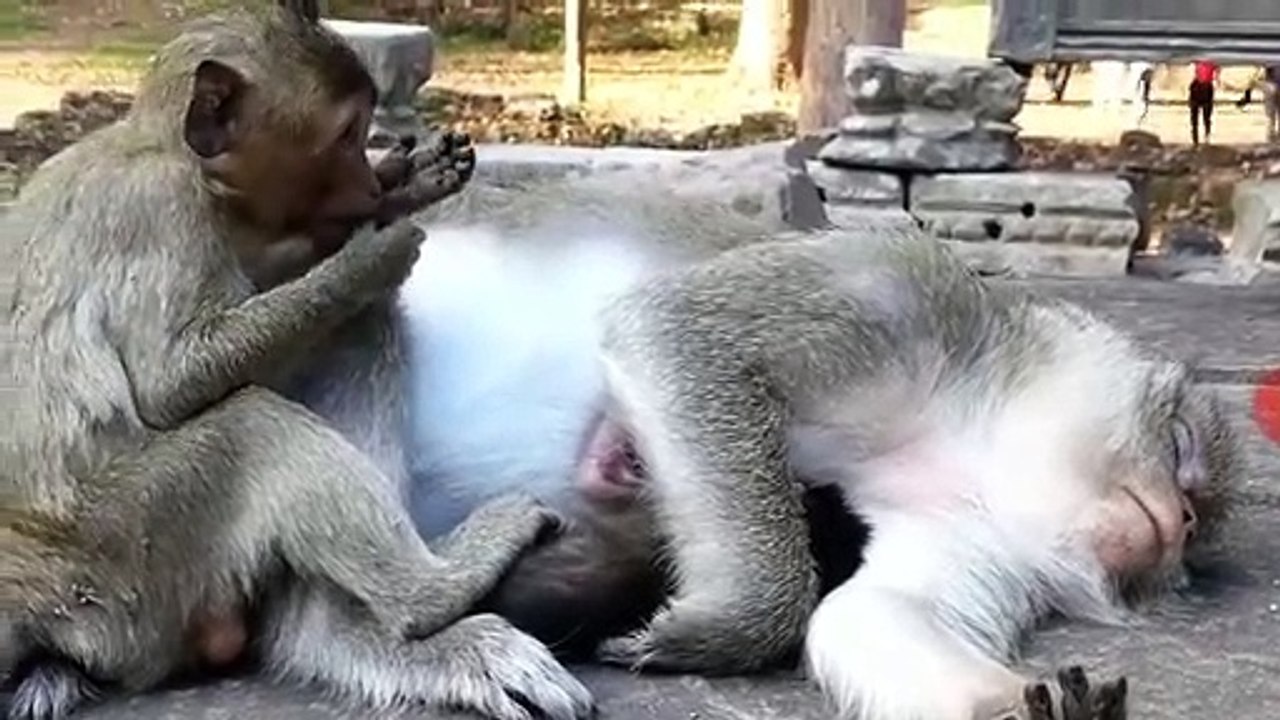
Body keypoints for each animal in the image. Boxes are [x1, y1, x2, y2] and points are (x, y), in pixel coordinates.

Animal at [0, 5, 594, 720]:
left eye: (363, 133)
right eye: (345, 135)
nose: (365, 179)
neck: (163, 149)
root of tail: (37, 612)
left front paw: (404, 181)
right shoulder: (165, 210)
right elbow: (170, 385)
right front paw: (362, 261)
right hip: (124, 556)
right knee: (255, 426)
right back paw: (432, 590)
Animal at [229, 171, 1237, 720]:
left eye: (1193, 539)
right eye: (1183, 449)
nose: (1182, 525)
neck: (966, 431)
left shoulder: (974, 525)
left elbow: (866, 617)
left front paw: (1007, 706)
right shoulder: (907, 289)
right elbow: (676, 333)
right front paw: (720, 627)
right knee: (364, 301)